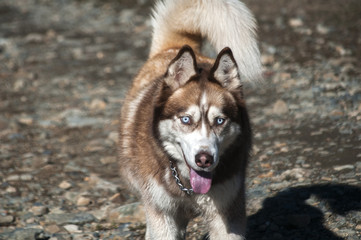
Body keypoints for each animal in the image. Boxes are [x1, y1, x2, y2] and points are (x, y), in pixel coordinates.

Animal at [118, 0, 262, 238]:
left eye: (220, 121)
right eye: (186, 119)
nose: (204, 159)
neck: (187, 186)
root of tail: (175, 48)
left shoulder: (227, 212)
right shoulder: (162, 214)